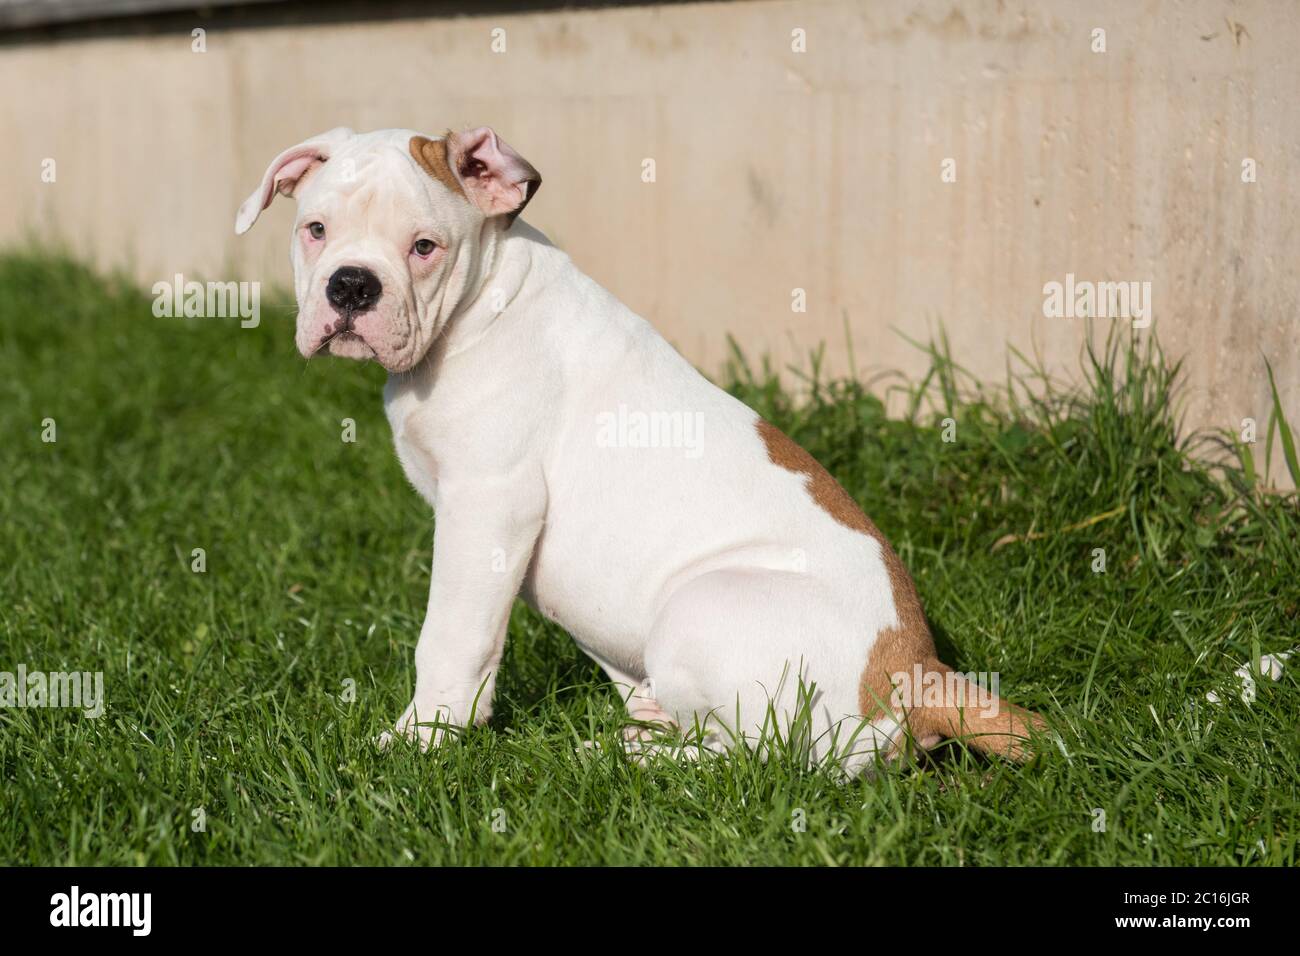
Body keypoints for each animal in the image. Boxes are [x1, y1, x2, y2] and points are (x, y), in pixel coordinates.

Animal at [236, 127, 1045, 775]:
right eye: (315, 230)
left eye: (424, 247)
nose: (351, 286)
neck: (479, 302)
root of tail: (920, 676)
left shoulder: (490, 504)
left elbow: (451, 636)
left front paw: (423, 737)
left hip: (701, 606)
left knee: (771, 758)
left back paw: (630, 756)